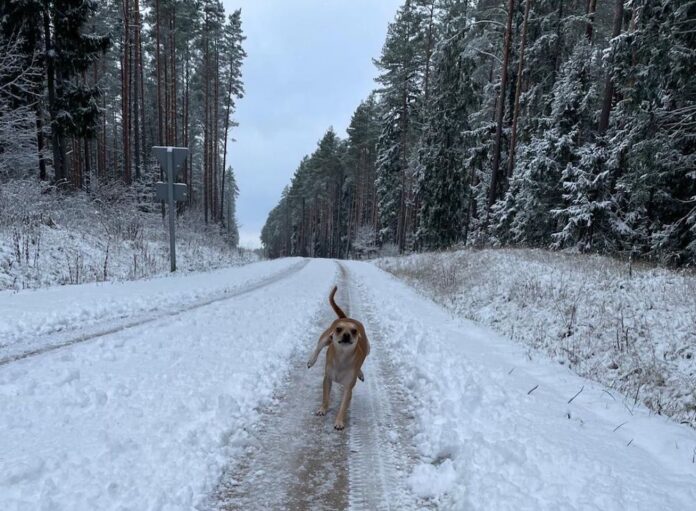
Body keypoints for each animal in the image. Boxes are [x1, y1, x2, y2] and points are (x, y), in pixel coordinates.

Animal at [306, 286, 370, 430]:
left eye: (354, 331)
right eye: (339, 329)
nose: (346, 335)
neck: (342, 356)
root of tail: (347, 317)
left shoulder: (348, 388)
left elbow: (343, 406)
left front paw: (339, 421)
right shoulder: (327, 379)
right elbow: (325, 397)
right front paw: (322, 409)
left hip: (368, 349)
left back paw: (361, 373)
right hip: (325, 338)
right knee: (318, 348)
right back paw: (311, 361)